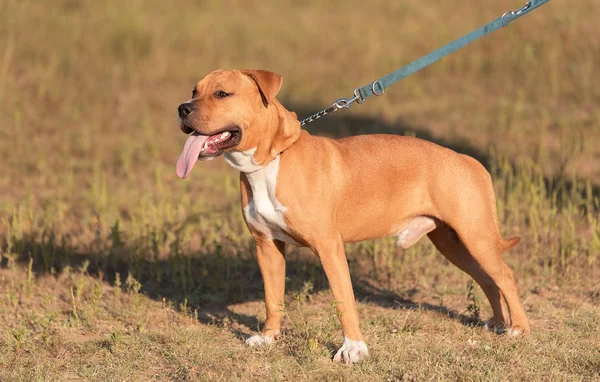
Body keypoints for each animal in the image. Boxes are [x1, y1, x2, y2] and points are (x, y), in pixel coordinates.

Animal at [175, 68, 528, 364]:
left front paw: (353, 349)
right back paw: (498, 323)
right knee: (487, 278)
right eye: (193, 90)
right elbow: (271, 297)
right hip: (453, 243)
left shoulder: (328, 246)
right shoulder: (267, 246)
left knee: (506, 276)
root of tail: (469, 160)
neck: (270, 160)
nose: (182, 108)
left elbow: (344, 300)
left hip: (475, 236)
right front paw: (268, 338)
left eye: (222, 93)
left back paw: (519, 329)